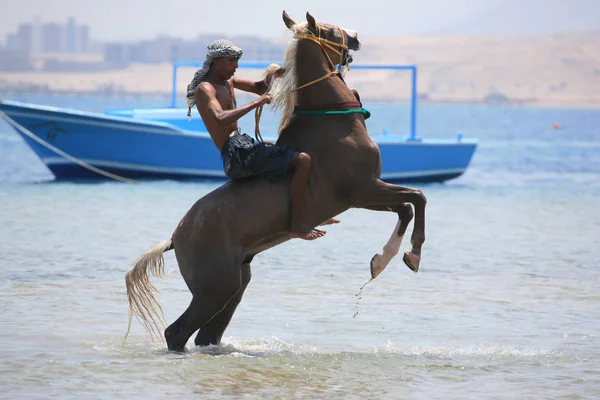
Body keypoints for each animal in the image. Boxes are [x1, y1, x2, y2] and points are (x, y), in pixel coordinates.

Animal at [125, 10, 426, 352]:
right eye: (330, 30)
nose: (356, 36)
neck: (335, 121)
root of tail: (176, 238)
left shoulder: (364, 194)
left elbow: (406, 207)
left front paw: (382, 260)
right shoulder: (363, 189)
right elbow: (417, 197)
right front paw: (411, 255)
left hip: (236, 284)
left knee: (206, 335)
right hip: (216, 286)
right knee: (177, 332)